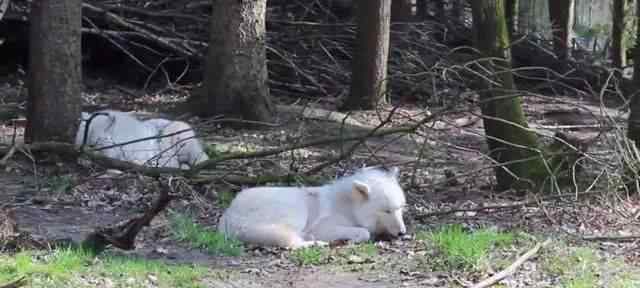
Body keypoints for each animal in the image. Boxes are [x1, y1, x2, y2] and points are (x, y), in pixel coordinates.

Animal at [216, 166, 404, 250]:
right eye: (387, 211)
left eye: (400, 208)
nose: (403, 233)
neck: (349, 207)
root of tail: (227, 216)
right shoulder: (323, 227)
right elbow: (364, 232)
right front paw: (351, 239)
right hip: (297, 212)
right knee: (292, 243)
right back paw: (318, 243)